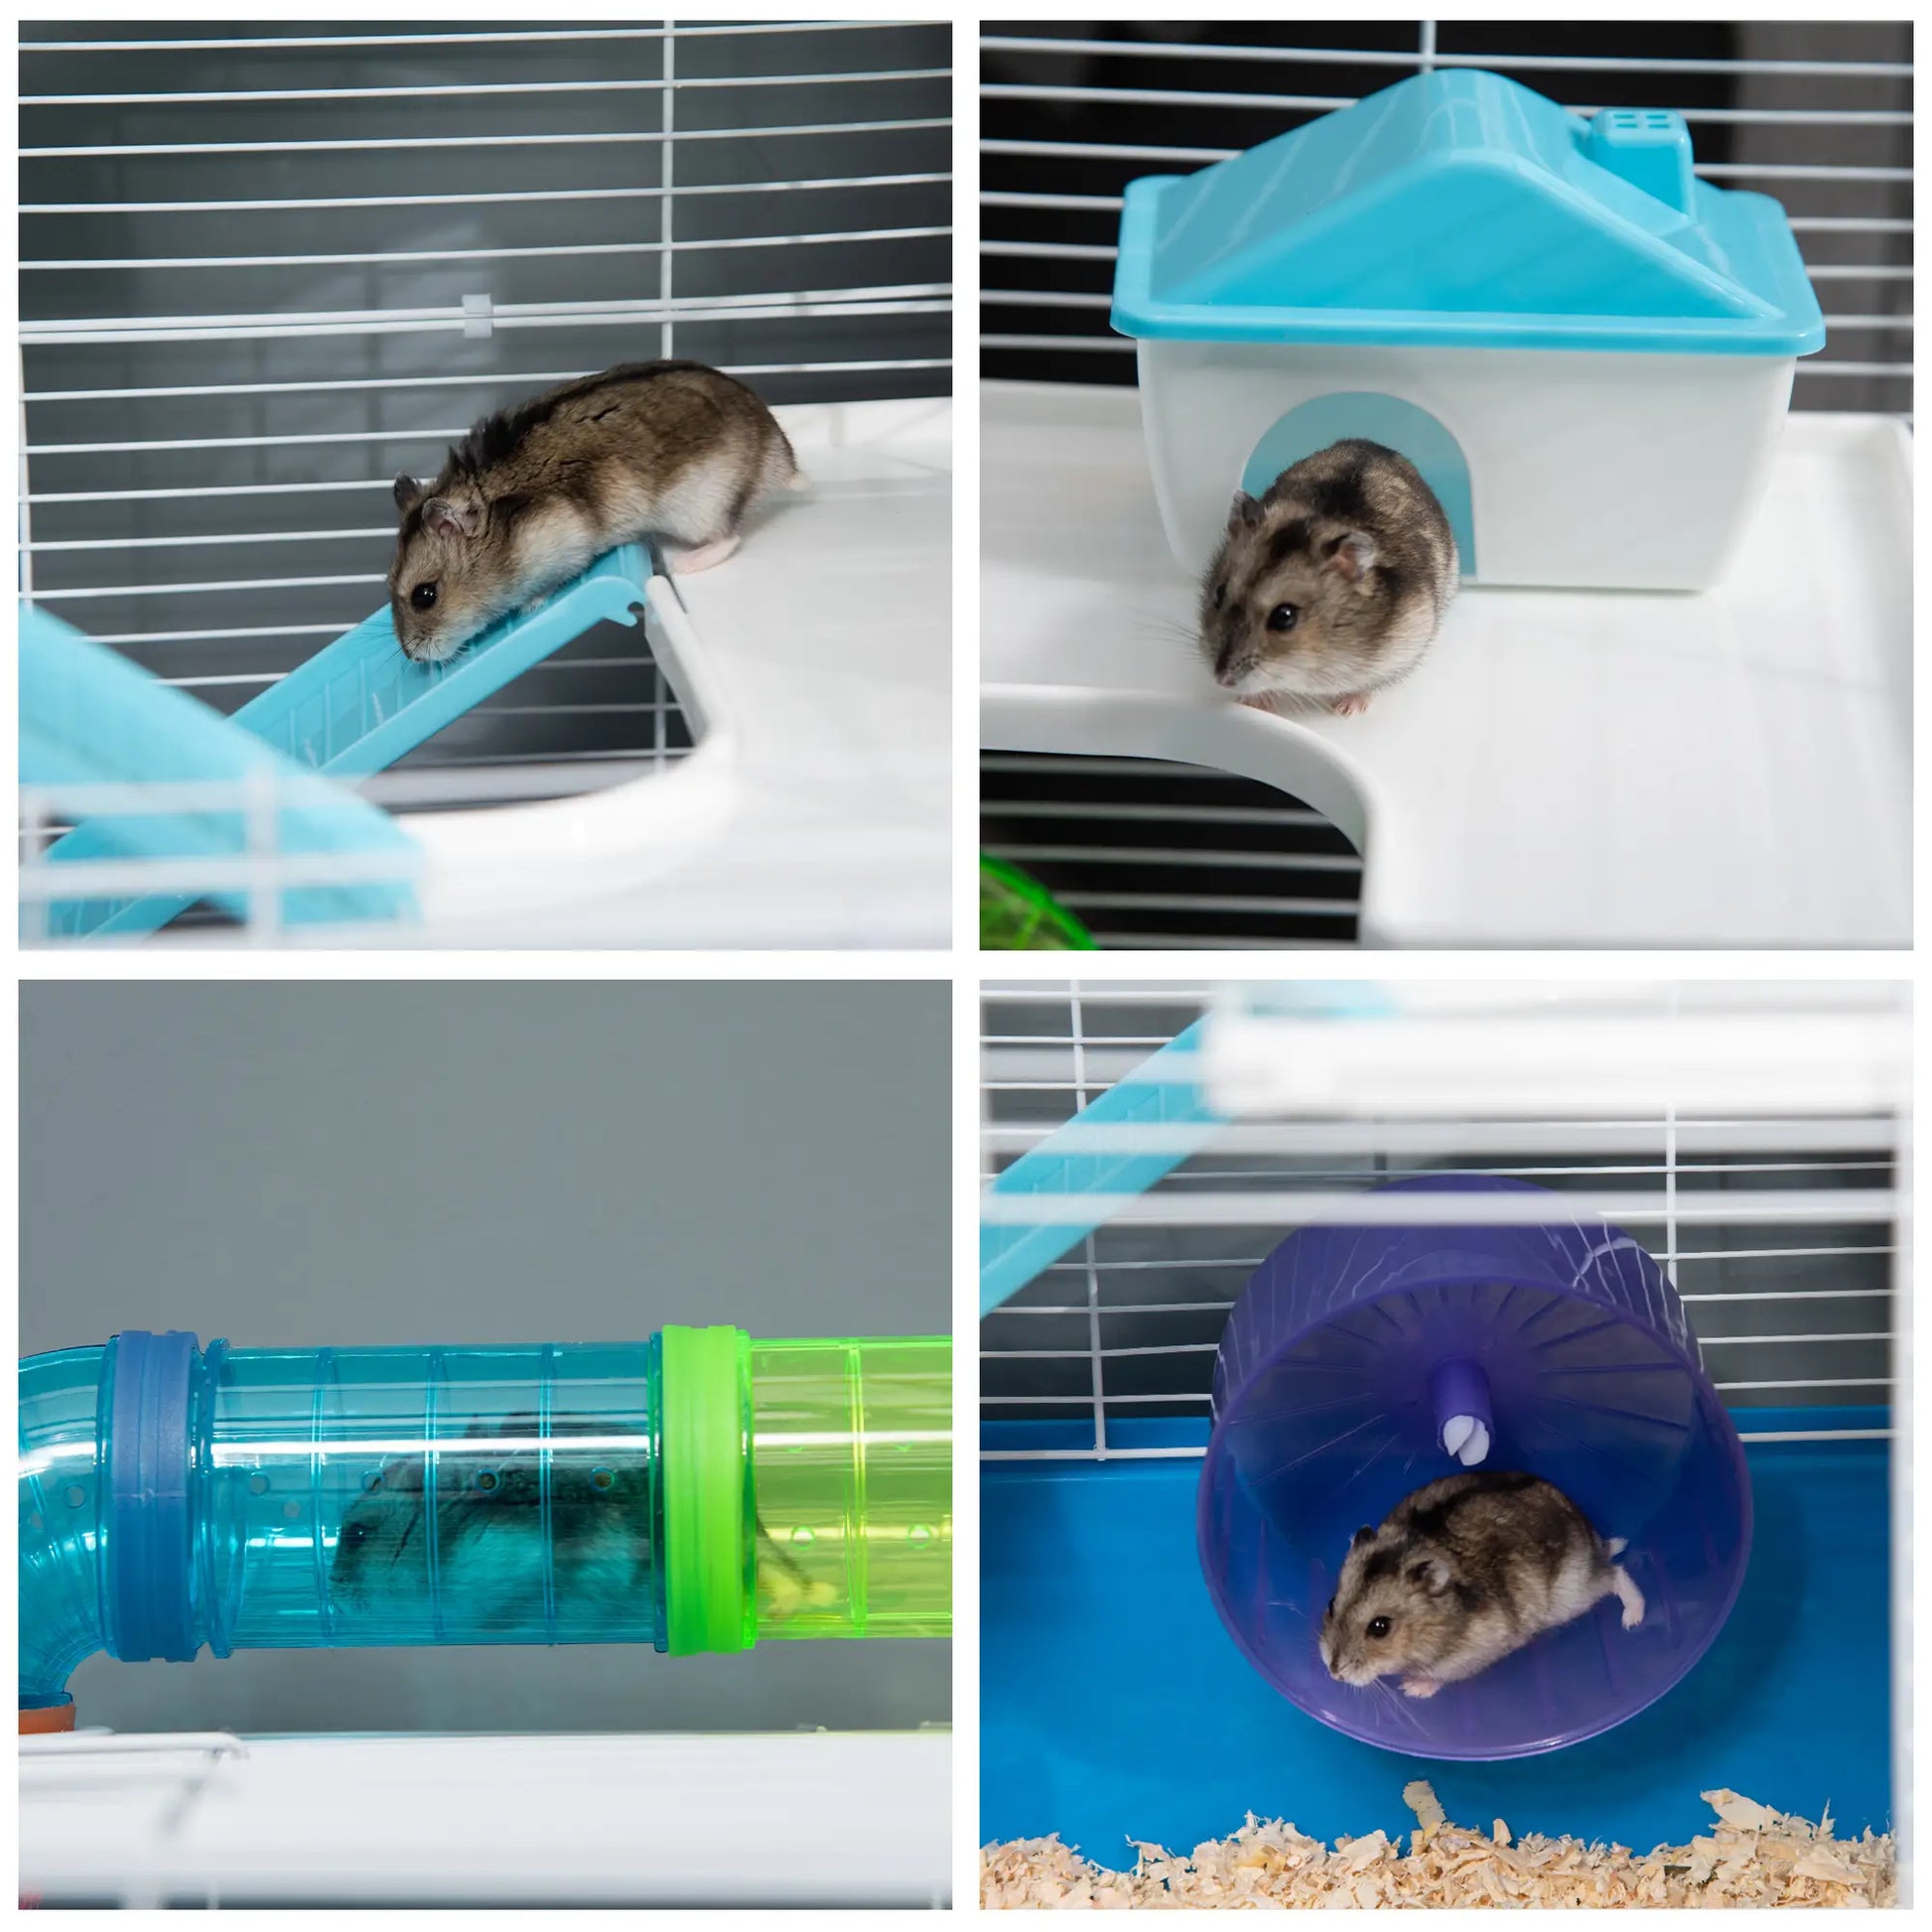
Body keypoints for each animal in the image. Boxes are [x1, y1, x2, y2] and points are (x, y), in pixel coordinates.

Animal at [388, 359, 800, 663]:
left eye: (425, 596)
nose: (413, 657)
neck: (501, 531)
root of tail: (782, 457)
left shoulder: (562, 542)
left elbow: (551, 581)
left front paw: (530, 605)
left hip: (700, 509)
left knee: (728, 538)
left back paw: (686, 564)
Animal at [1199, 439, 1458, 718]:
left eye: (1284, 617)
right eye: (1219, 593)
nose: (1221, 680)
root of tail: (1374, 444)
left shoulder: (1405, 643)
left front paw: (1345, 710)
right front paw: (1253, 703)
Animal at [1318, 1471, 1644, 1699]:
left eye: (1380, 1627)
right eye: (1331, 1605)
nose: (1333, 1673)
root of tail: (1593, 1536)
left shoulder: (1475, 1652)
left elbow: (1442, 1675)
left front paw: (1410, 1688)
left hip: (1575, 1593)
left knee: (1616, 1572)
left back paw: (1632, 1620)